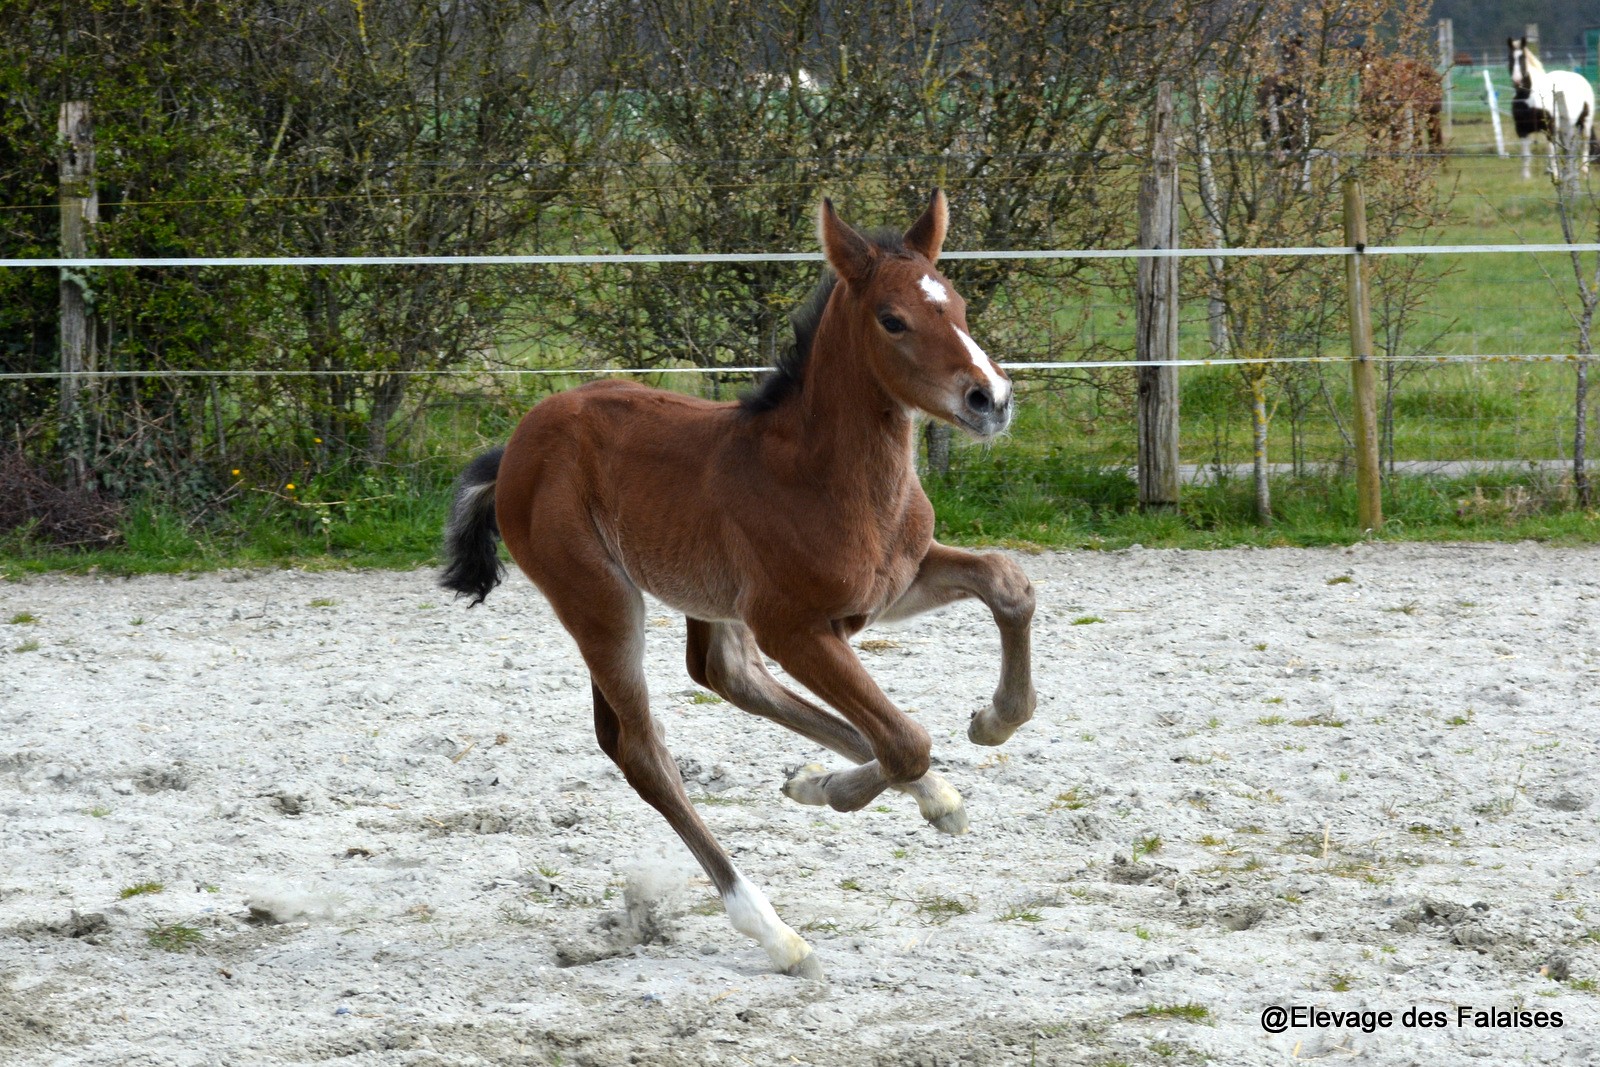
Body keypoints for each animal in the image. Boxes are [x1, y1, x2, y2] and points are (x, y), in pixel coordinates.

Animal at [438, 189, 1036, 979]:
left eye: (959, 304)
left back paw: (885, 791)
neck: (822, 474)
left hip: (707, 600)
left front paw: (986, 726)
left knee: (724, 675)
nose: (989, 398)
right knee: (644, 751)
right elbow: (906, 736)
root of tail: (515, 447)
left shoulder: (889, 589)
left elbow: (1007, 583)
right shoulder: (794, 627)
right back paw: (773, 929)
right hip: (601, 601)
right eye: (893, 319)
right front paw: (848, 788)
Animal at [1504, 36, 1593, 179]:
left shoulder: (1550, 127)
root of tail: (1582, 79)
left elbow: (1551, 154)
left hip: (1585, 122)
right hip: (1565, 128)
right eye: (1510, 57)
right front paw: (1525, 178)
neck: (1529, 96)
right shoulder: (1522, 129)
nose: (1517, 81)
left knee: (1585, 144)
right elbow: (1525, 155)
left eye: (1522, 57)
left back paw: (1584, 172)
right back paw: (1569, 172)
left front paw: (1555, 176)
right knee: (1567, 148)